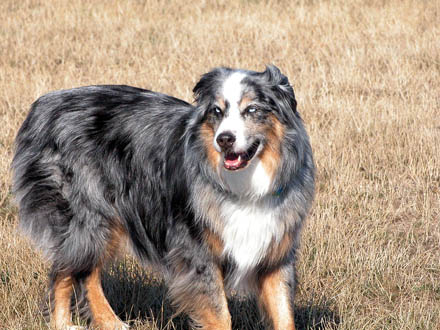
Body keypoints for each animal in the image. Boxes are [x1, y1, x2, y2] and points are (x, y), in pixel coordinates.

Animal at [12, 65, 314, 328]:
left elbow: (284, 314)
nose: (224, 139)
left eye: (252, 110)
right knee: (67, 269)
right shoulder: (197, 252)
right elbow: (220, 315)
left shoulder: (275, 251)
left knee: (83, 271)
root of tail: (45, 104)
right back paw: (63, 324)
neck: (246, 184)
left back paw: (110, 323)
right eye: (217, 111)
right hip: (87, 214)